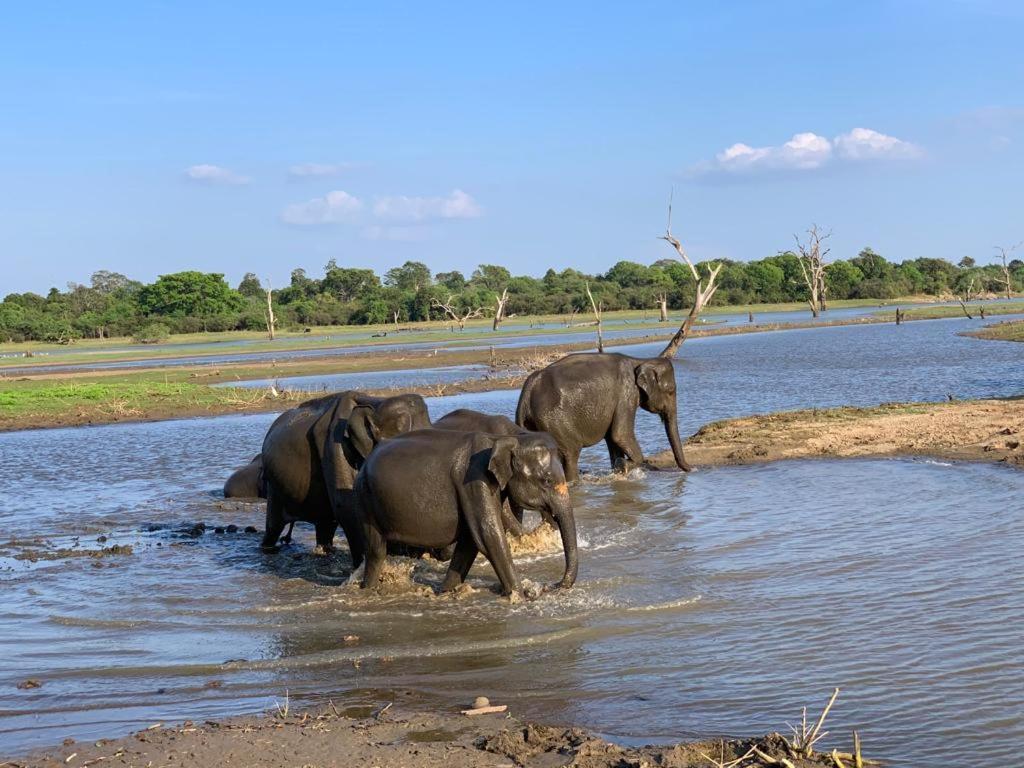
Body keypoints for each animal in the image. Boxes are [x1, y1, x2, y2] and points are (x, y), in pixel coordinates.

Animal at [260, 391, 432, 561]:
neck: (374, 402)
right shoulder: (334, 446)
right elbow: (347, 507)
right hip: (274, 484)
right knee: (274, 525)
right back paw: (268, 548)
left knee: (326, 524)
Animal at [352, 428, 577, 602]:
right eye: (547, 481)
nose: (549, 586)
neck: (502, 439)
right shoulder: (474, 481)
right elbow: (488, 535)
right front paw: (520, 597)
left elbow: (469, 542)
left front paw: (445, 592)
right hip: (365, 498)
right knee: (376, 550)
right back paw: (368, 589)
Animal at [516, 354, 692, 483]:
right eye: (671, 391)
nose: (692, 469)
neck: (640, 360)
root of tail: (529, 389)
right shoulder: (626, 393)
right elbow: (620, 434)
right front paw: (624, 466)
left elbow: (612, 440)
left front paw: (618, 469)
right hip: (555, 421)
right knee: (571, 454)